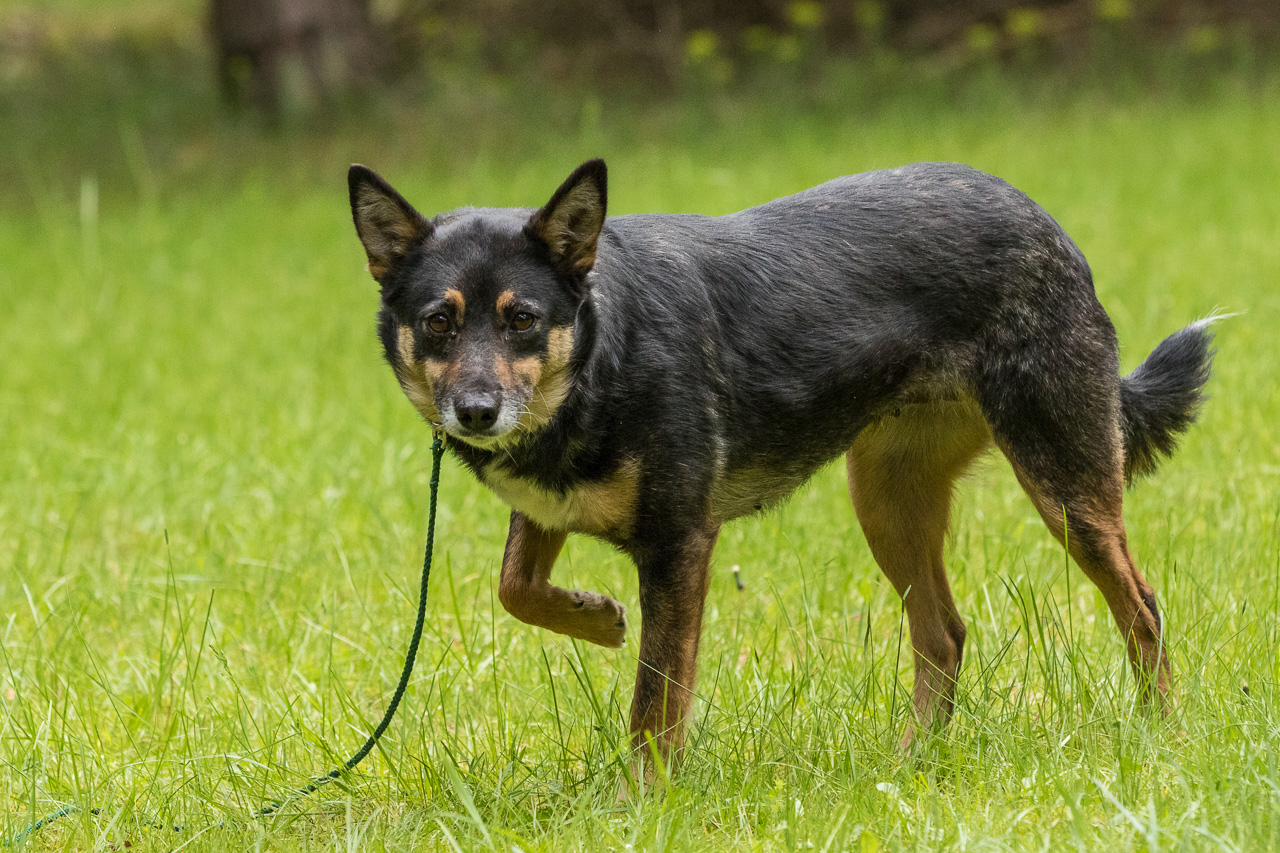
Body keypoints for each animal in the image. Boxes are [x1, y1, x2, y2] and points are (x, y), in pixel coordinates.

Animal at [346, 159, 1214, 767]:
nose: (476, 412)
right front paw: (596, 617)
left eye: (521, 319)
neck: (602, 352)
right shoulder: (549, 507)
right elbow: (516, 588)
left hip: (1065, 488)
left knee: (1143, 608)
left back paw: (1160, 738)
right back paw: (912, 762)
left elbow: (655, 702)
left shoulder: (680, 544)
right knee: (944, 633)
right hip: (887, 502)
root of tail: (1044, 220)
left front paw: (641, 803)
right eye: (438, 323)